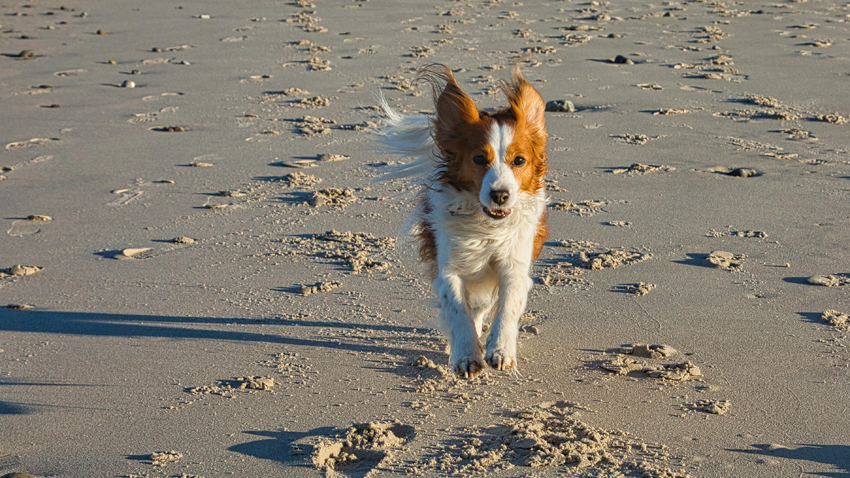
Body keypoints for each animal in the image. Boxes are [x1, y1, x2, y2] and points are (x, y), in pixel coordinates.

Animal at [374, 63, 548, 378]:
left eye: (519, 161)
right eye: (479, 159)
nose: (500, 195)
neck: (486, 227)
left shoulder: (514, 263)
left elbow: (508, 305)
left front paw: (501, 349)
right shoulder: (449, 268)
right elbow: (458, 309)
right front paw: (467, 354)